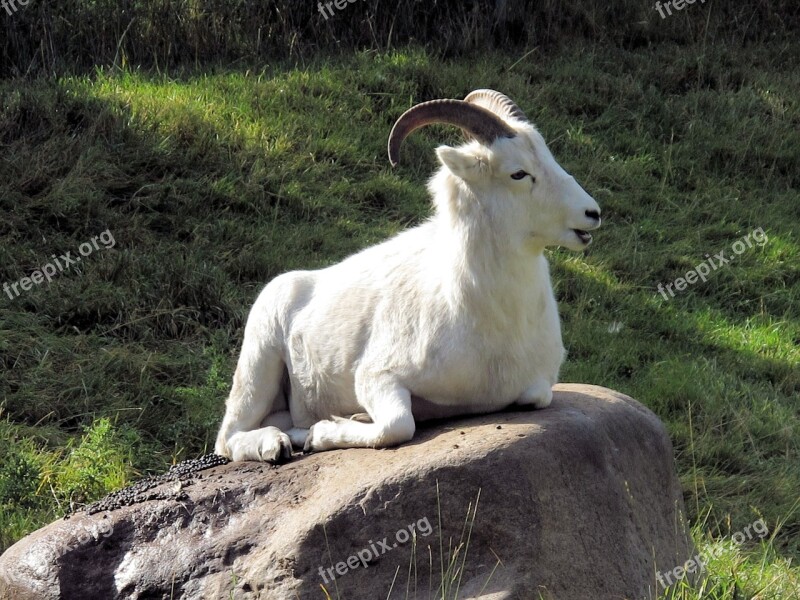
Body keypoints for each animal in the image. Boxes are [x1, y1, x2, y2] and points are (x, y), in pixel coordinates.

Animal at [212, 90, 600, 464]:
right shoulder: (377, 378)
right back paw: (276, 446)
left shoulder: (537, 386)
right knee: (229, 438)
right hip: (259, 366)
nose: (592, 213)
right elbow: (398, 426)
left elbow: (537, 396)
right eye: (518, 173)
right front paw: (323, 433)